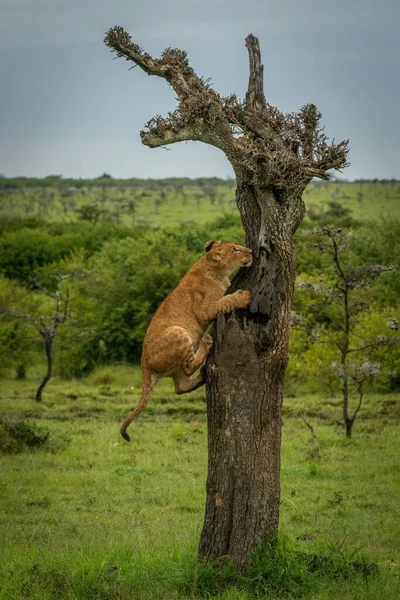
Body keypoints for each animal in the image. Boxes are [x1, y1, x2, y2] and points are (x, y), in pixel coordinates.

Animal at [119, 239, 253, 440]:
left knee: (179, 387)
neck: (215, 271)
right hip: (180, 331)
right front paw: (244, 296)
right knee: (188, 367)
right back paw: (206, 344)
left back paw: (203, 374)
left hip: (175, 365)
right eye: (235, 249)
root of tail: (144, 365)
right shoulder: (205, 311)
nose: (251, 251)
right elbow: (225, 301)